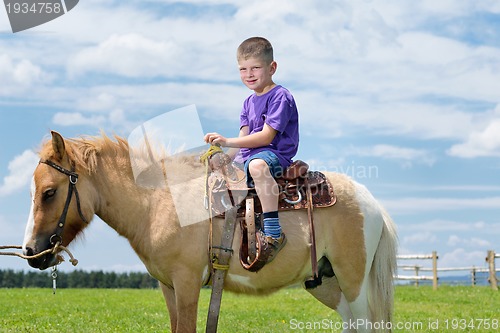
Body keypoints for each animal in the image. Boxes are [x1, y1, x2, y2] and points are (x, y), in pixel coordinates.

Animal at [24, 131, 398, 330]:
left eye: (49, 192)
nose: (30, 252)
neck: (159, 202)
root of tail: (371, 202)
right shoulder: (168, 287)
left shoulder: (188, 281)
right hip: (325, 281)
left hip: (353, 281)